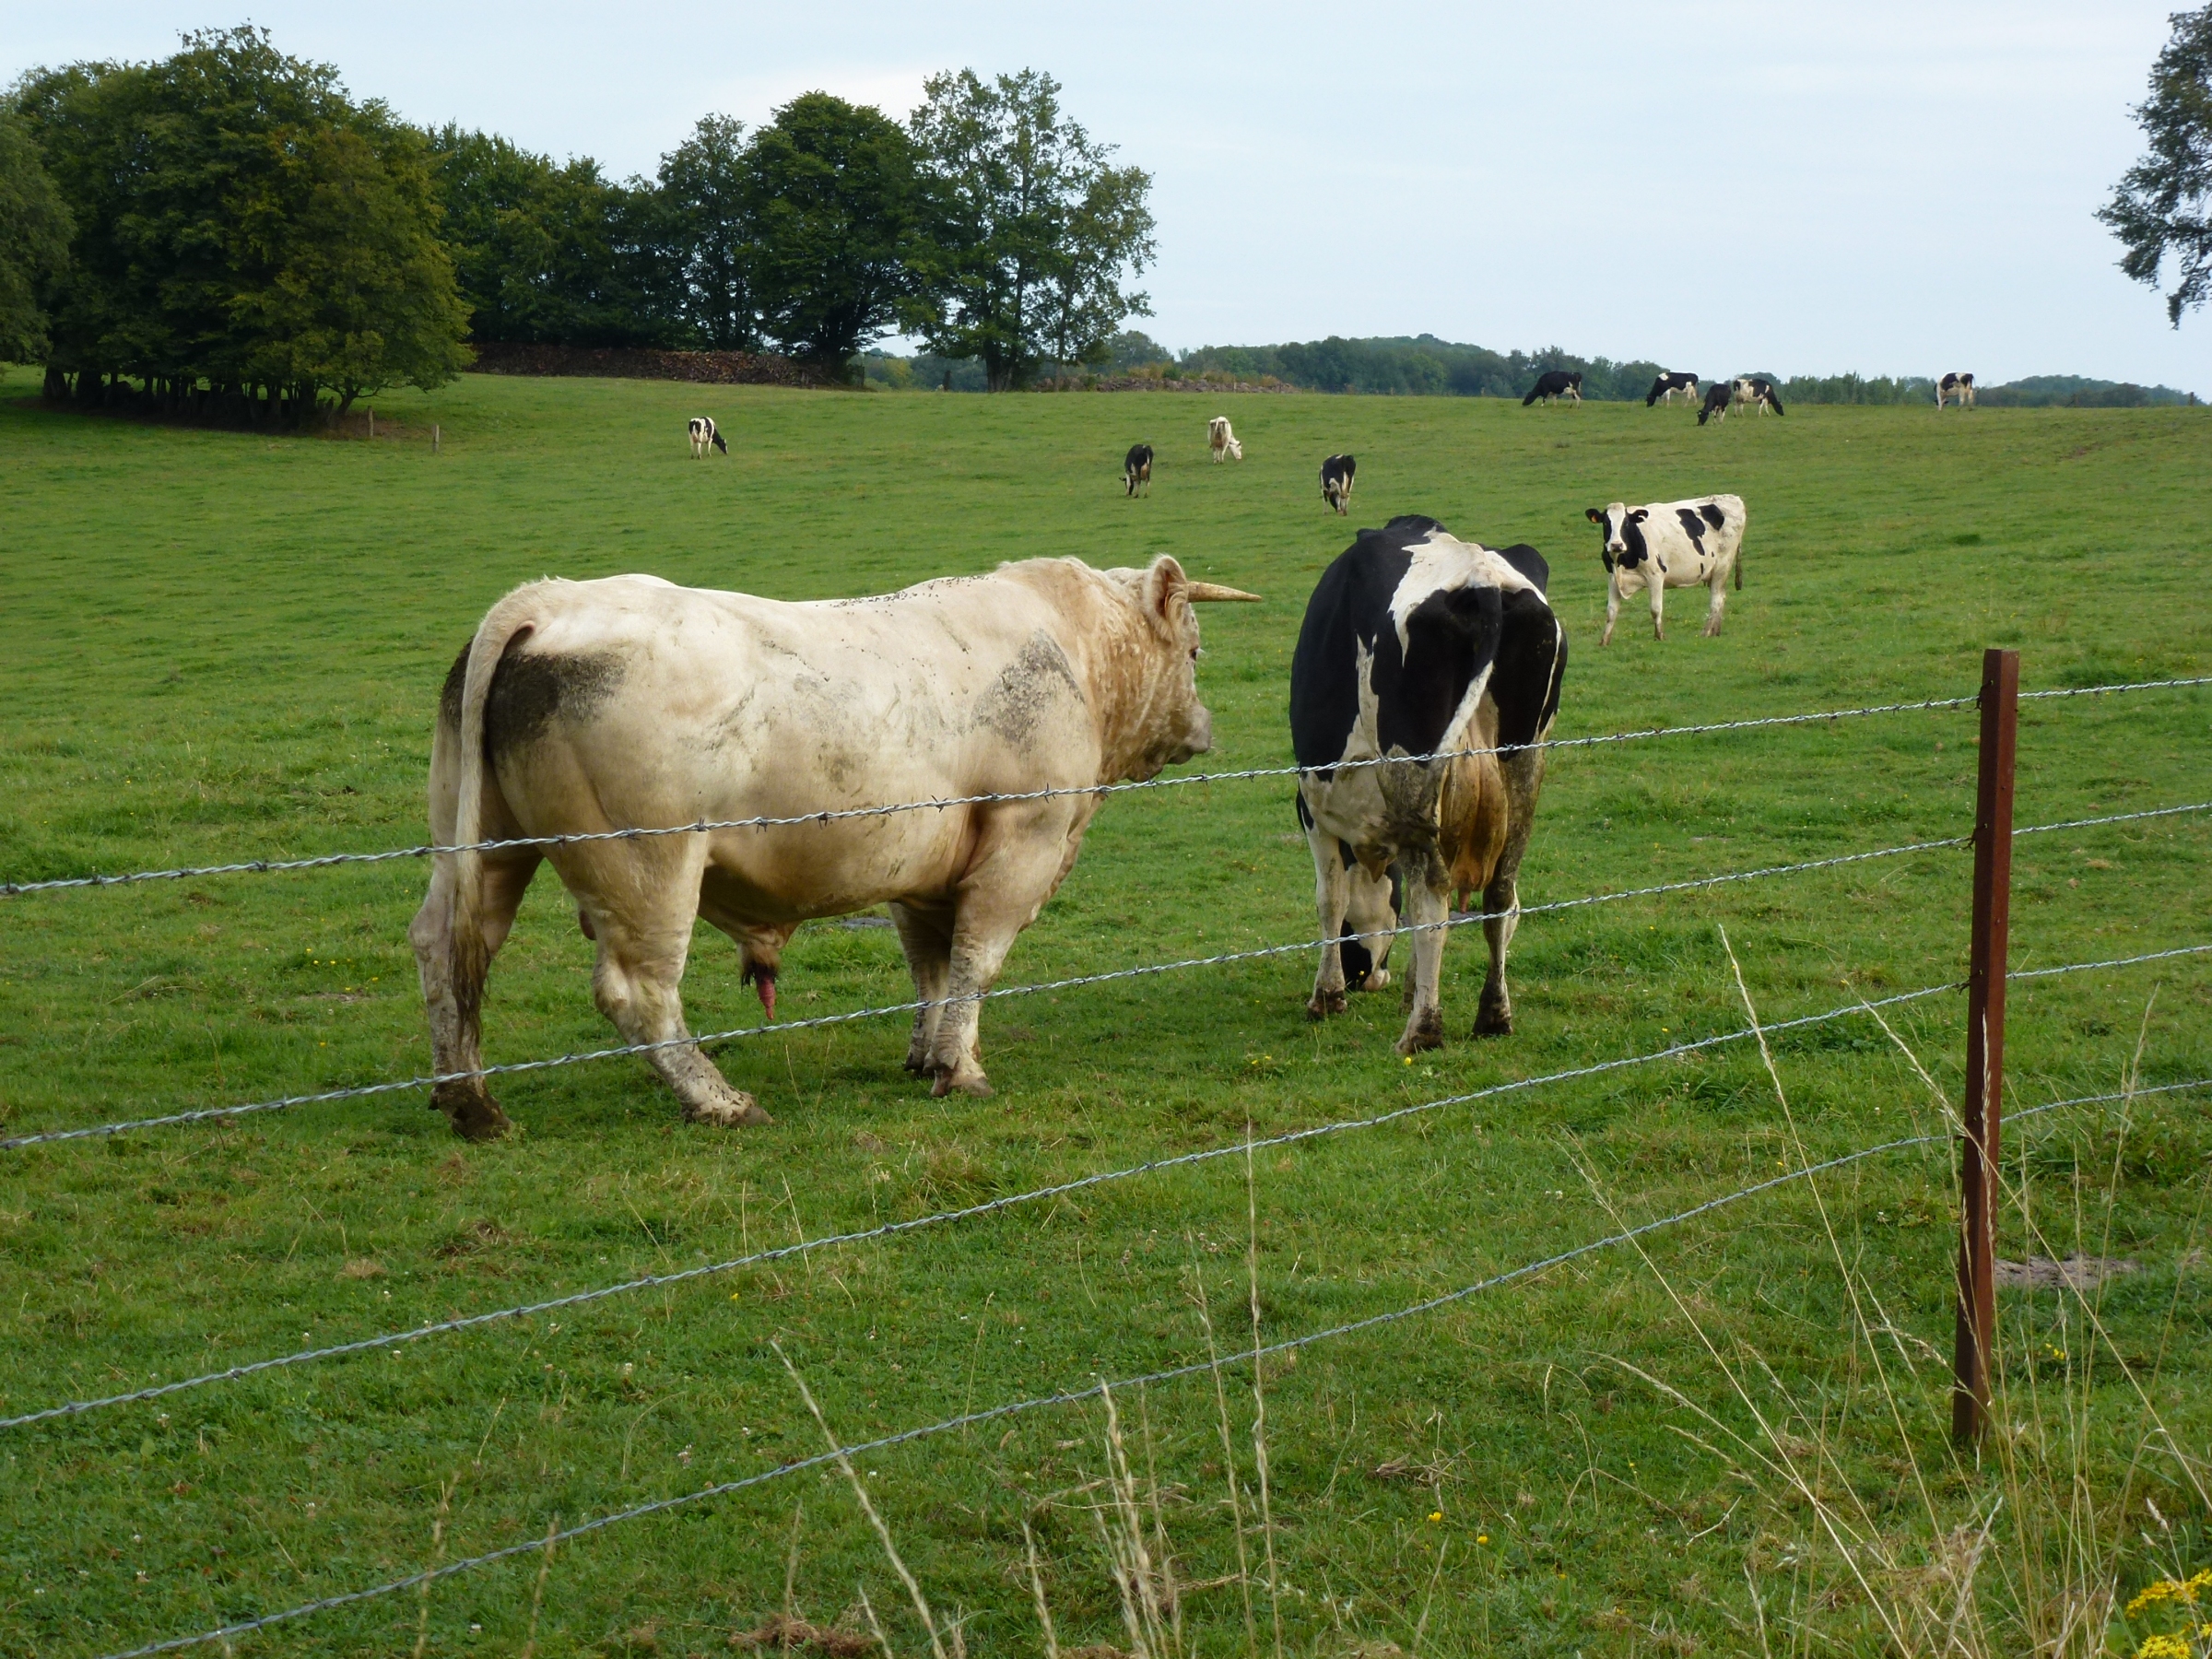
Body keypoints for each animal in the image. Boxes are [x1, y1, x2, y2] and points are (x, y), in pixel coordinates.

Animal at [416, 553, 1265, 1141]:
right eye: (1194, 652)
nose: (1206, 725)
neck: (1075, 650)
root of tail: (548, 600)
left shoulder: (925, 870)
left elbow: (932, 968)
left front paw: (926, 1055)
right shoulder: (1025, 835)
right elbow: (977, 961)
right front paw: (961, 1070)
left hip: (486, 845)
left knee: (444, 948)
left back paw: (470, 1102)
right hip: (648, 867)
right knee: (636, 992)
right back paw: (719, 1101)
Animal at [1291, 517, 1566, 1053]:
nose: (1367, 978)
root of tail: (1481, 578)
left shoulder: (1312, 807)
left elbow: (1330, 898)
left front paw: (1327, 996)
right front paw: (1409, 987)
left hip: (1412, 768)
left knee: (1432, 898)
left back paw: (1422, 1031)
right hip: (1525, 763)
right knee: (1501, 894)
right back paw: (1493, 1015)